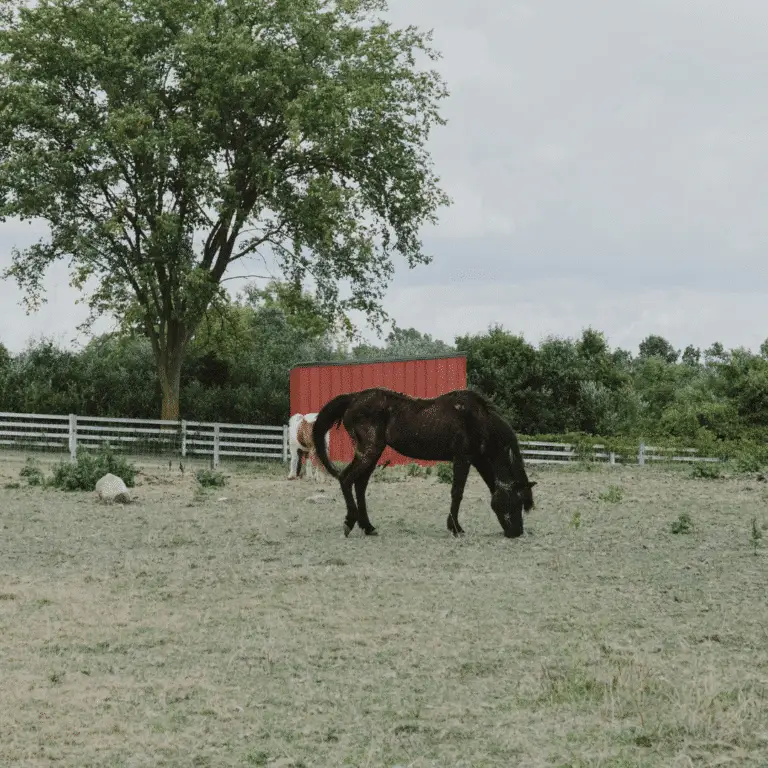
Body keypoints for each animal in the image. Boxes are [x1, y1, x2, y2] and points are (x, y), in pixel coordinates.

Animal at [308, 388, 536, 536]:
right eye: (517, 501)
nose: (517, 532)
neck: (480, 420)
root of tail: (354, 398)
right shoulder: (463, 459)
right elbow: (457, 492)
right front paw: (456, 528)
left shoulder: (478, 460)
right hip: (369, 451)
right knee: (346, 479)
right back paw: (350, 522)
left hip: (372, 454)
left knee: (360, 485)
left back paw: (368, 527)